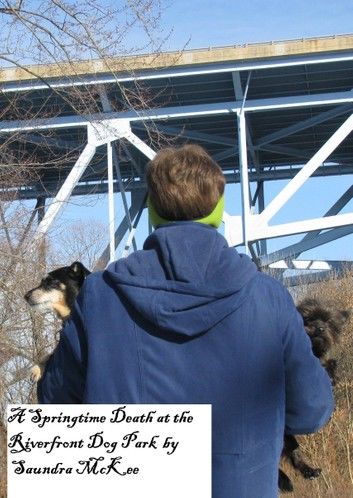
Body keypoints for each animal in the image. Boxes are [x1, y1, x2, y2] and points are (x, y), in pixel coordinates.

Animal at [278, 298, 350, 492]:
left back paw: (306, 471)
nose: (319, 328)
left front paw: (332, 374)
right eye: (308, 318)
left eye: (328, 321)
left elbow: (330, 364)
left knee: (293, 452)